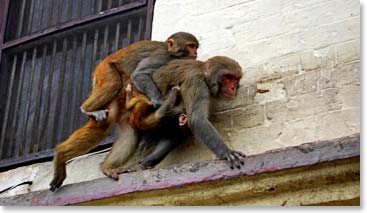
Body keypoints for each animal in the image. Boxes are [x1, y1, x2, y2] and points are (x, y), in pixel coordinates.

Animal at [49, 32, 200, 191]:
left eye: (195, 47)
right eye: (191, 46)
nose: (195, 53)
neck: (170, 51)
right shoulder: (163, 57)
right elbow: (140, 74)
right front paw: (158, 101)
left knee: (127, 133)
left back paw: (106, 167)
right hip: (106, 70)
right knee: (112, 85)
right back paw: (83, 116)